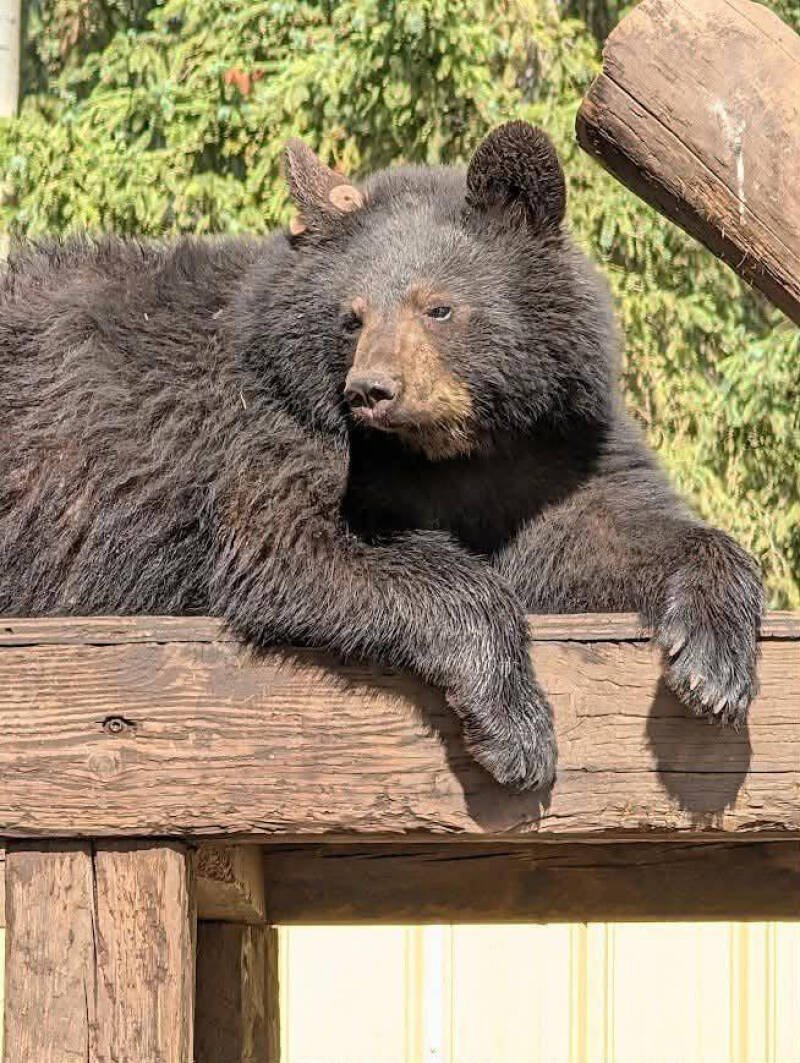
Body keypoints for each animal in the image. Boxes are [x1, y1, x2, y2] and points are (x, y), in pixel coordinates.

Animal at [0, 121, 763, 790]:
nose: (371, 390)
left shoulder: (548, 447)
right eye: (353, 315)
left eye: (437, 307)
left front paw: (715, 665)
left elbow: (602, 534)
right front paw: (516, 730)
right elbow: (299, 547)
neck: (445, 446)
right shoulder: (273, 428)